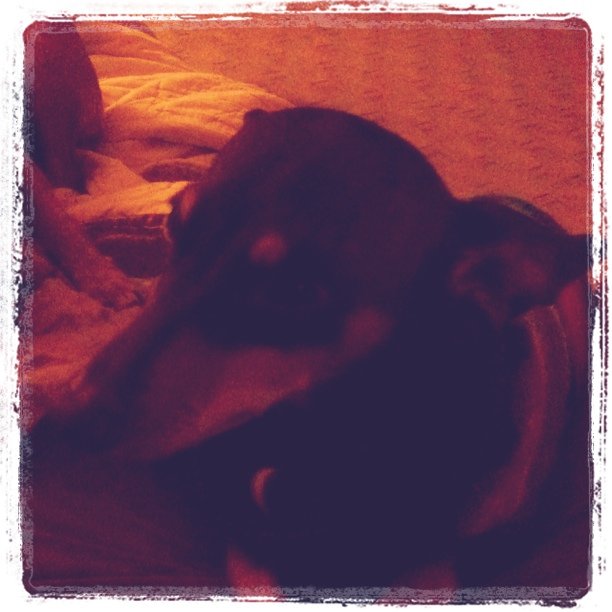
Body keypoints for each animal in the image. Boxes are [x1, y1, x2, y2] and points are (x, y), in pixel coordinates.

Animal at [30, 107, 590, 594]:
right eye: (173, 223)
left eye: (295, 291)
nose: (69, 416)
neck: (312, 431)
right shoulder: (244, 537)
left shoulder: (431, 560)